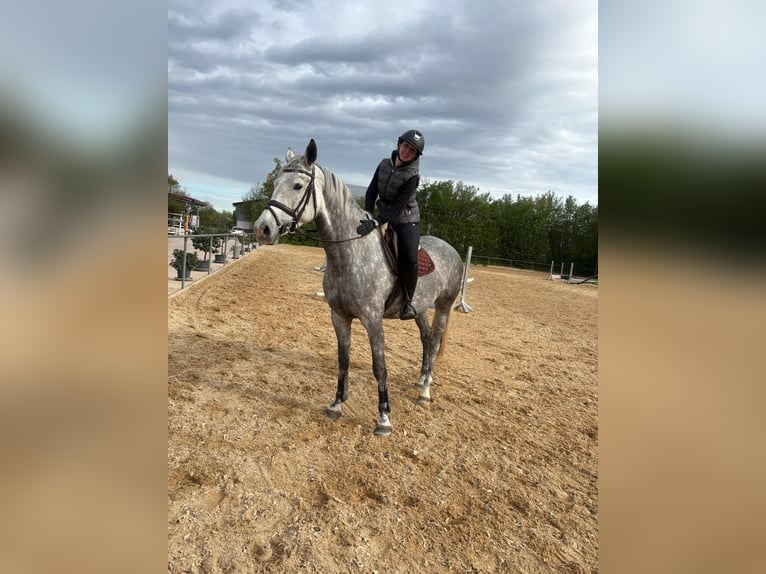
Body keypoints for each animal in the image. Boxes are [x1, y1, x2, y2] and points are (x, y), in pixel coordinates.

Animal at [254, 139, 463, 436]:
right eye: (275, 183)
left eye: (297, 185)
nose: (262, 229)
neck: (350, 253)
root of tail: (451, 249)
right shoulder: (339, 317)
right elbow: (343, 361)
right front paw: (336, 404)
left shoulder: (373, 319)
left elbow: (380, 367)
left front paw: (384, 418)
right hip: (420, 308)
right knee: (425, 339)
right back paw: (421, 379)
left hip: (444, 306)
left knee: (434, 343)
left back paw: (425, 391)